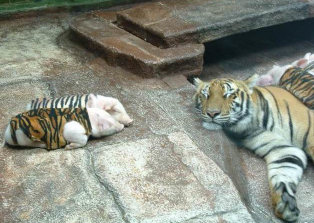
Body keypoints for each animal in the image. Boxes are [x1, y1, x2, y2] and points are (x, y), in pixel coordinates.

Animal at [190, 74, 312, 221]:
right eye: (206, 95)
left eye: (228, 95)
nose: (212, 113)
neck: (255, 120)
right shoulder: (282, 149)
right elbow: (284, 170)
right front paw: (284, 202)